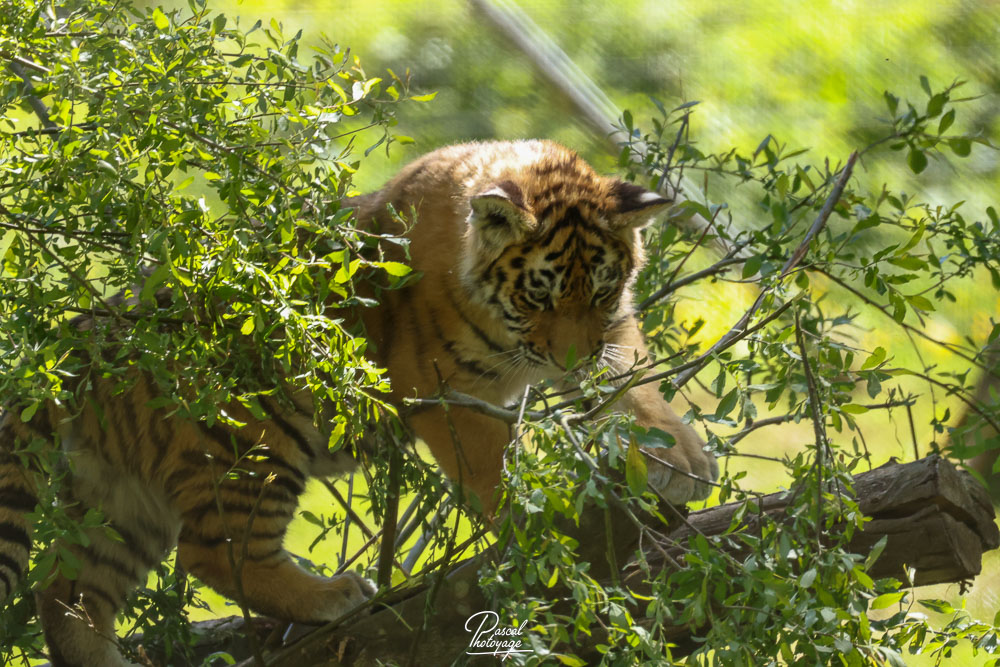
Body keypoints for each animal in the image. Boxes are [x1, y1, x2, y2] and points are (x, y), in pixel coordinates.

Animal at [0, 139, 718, 666]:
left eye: (599, 289)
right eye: (539, 292)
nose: (567, 362)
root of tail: (81, 339)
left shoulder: (610, 330)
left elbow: (633, 381)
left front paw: (681, 459)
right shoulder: (447, 392)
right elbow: (494, 473)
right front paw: (544, 535)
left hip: (118, 502)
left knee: (64, 596)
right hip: (254, 442)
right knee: (214, 554)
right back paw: (335, 596)